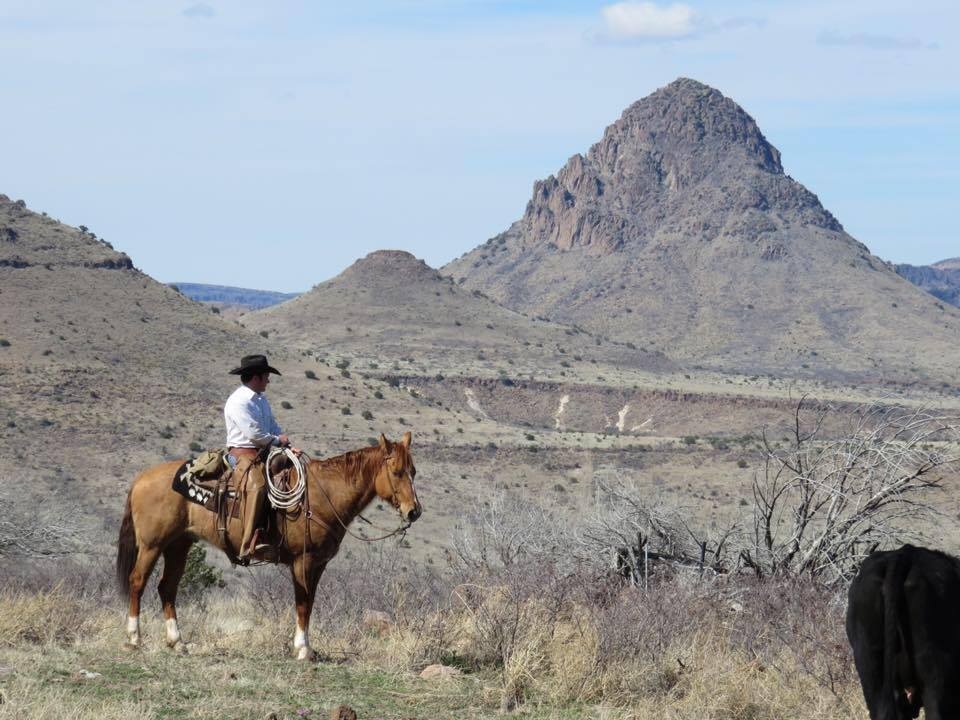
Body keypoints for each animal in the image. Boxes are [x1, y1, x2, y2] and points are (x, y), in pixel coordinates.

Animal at [116, 432, 421, 660]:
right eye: (396, 472)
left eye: (414, 471)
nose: (414, 512)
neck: (322, 495)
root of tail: (141, 478)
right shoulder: (303, 561)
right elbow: (303, 603)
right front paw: (303, 649)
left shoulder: (319, 564)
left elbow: (309, 603)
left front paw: (304, 646)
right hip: (152, 545)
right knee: (137, 581)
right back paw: (133, 638)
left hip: (178, 545)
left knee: (167, 587)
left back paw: (177, 642)